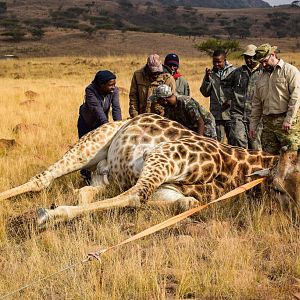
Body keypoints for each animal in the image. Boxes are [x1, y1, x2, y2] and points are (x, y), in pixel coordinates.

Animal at [1, 112, 298, 227]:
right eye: (278, 189)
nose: (295, 220)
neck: (237, 170)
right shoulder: (163, 155)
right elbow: (137, 196)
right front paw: (48, 215)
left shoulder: (170, 189)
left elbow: (187, 203)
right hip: (92, 142)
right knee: (43, 178)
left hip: (106, 176)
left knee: (88, 190)